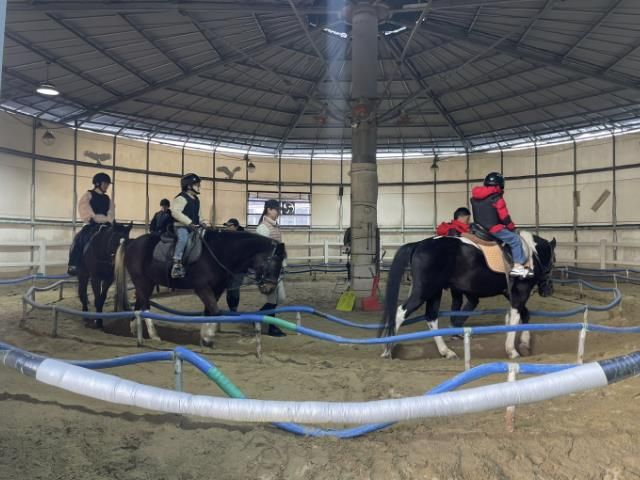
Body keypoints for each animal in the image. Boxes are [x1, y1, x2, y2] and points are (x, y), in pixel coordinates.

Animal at [113, 229, 286, 347]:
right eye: (272, 261)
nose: (270, 288)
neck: (218, 252)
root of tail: (132, 242)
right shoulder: (202, 288)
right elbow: (215, 311)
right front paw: (208, 338)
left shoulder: (216, 289)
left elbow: (209, 312)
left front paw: (205, 338)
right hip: (142, 281)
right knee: (145, 306)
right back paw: (154, 336)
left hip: (146, 283)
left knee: (139, 304)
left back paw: (134, 331)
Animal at [379, 232, 556, 359]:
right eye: (553, 260)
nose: (549, 290)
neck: (531, 254)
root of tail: (419, 244)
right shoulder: (520, 293)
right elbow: (516, 319)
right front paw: (512, 350)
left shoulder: (510, 294)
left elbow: (524, 315)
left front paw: (525, 345)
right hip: (424, 291)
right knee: (400, 312)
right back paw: (388, 349)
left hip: (435, 292)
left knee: (431, 317)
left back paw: (446, 351)